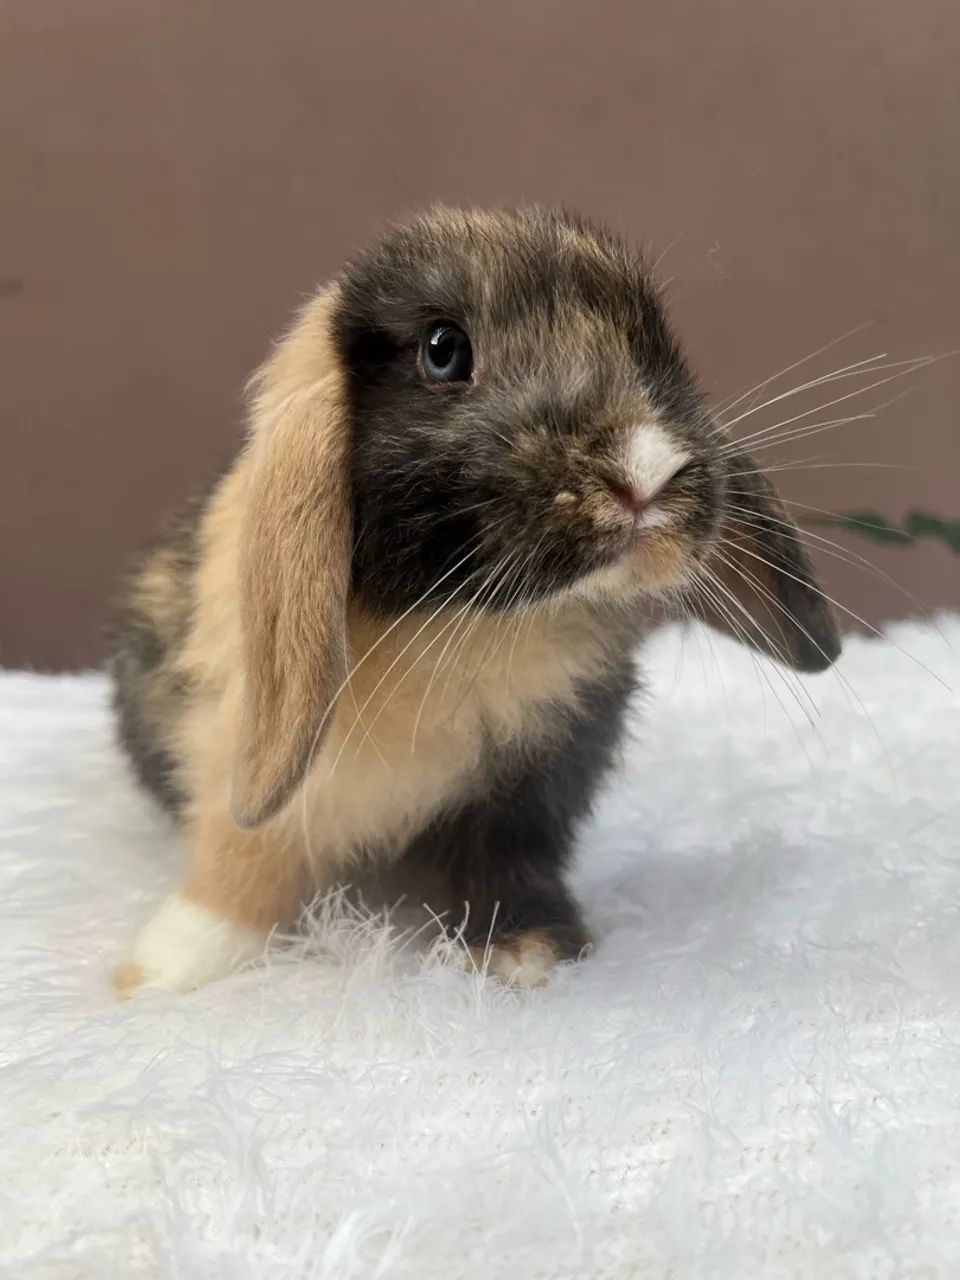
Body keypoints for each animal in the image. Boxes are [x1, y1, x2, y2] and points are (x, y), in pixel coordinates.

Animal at [109, 206, 841, 996]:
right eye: (443, 350)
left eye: (654, 346)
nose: (646, 472)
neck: (462, 621)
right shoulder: (238, 745)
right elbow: (242, 856)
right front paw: (165, 967)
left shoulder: (527, 788)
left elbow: (508, 865)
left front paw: (527, 954)